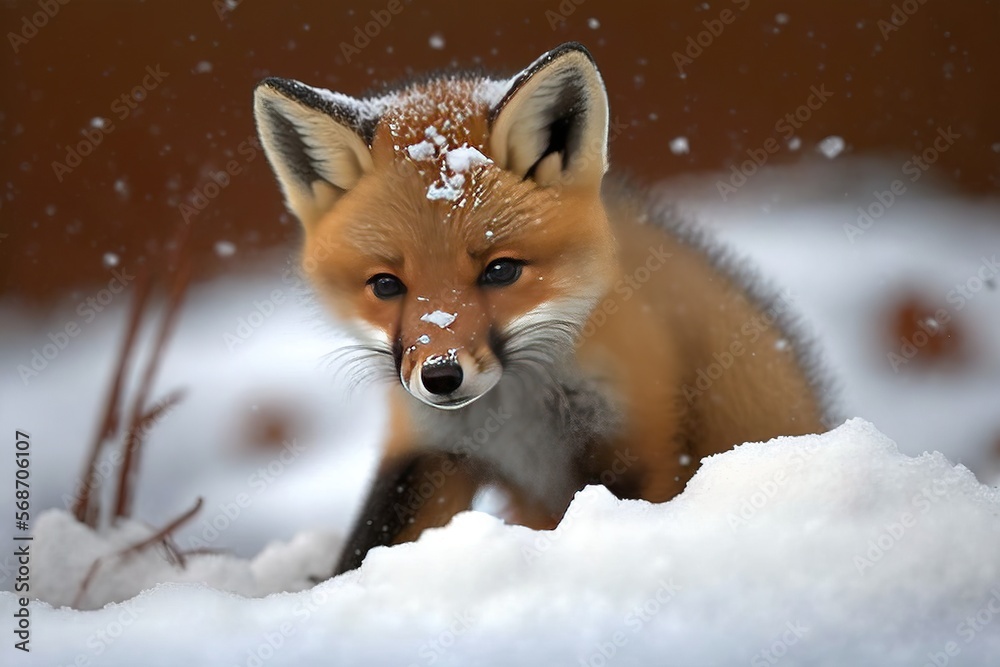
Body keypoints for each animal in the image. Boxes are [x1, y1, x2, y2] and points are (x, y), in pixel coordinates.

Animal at [252, 43, 830, 576]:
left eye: (501, 271)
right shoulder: (430, 446)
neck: (515, 413)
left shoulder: (638, 439)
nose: (441, 376)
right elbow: (366, 550)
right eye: (386, 285)